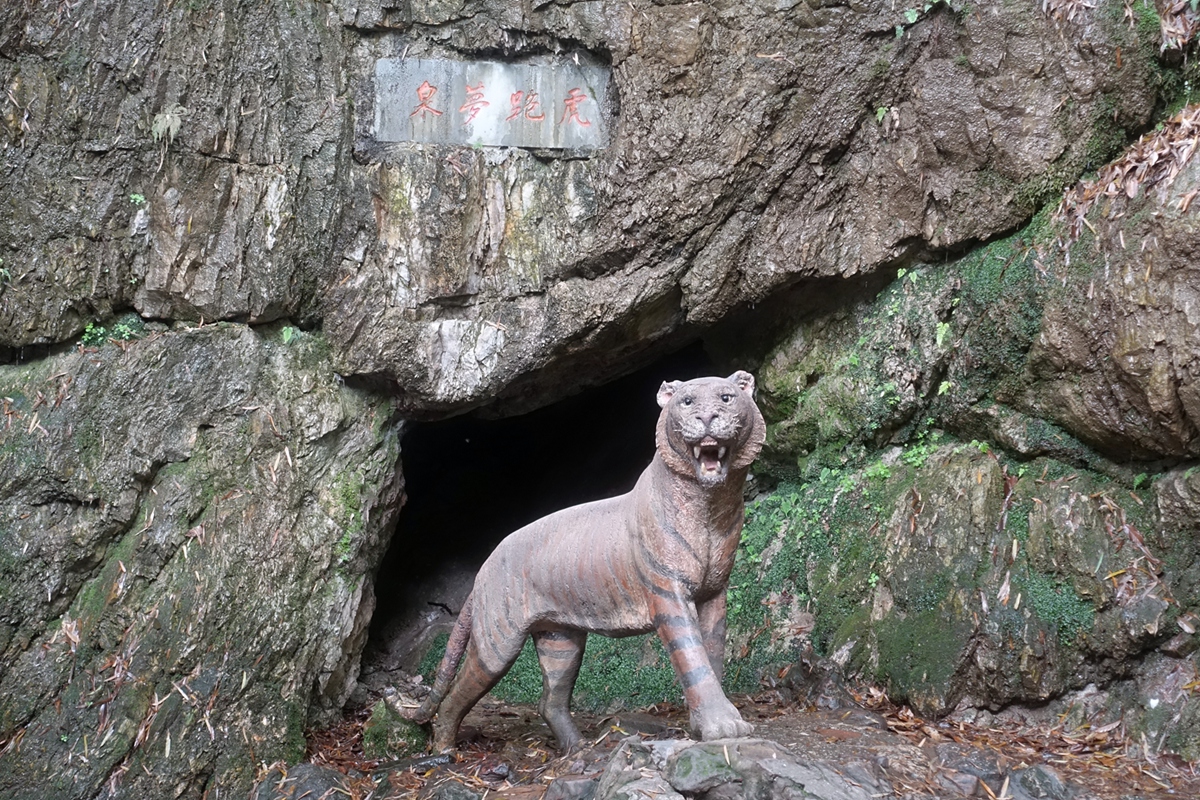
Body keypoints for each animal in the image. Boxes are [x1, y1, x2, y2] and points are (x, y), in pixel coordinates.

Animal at [402, 370, 767, 752]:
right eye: (687, 401)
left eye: (726, 398)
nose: (707, 417)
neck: (710, 504)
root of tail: (482, 571)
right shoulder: (668, 591)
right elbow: (693, 658)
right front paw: (722, 727)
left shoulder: (713, 593)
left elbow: (713, 656)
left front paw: (708, 724)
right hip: (497, 642)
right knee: (457, 693)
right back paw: (445, 749)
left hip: (560, 640)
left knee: (550, 700)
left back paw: (577, 748)